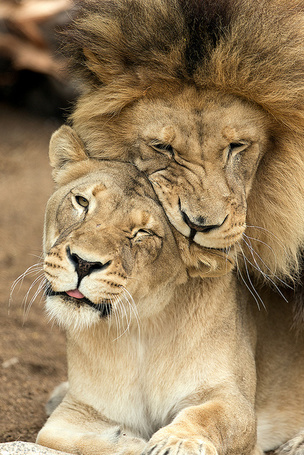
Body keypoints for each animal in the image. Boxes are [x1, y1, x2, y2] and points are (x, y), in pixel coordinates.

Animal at [35, 126, 304, 455]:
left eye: (142, 233)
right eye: (82, 202)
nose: (85, 263)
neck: (140, 328)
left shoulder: (233, 402)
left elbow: (210, 416)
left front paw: (176, 442)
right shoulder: (76, 412)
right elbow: (70, 439)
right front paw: (129, 441)